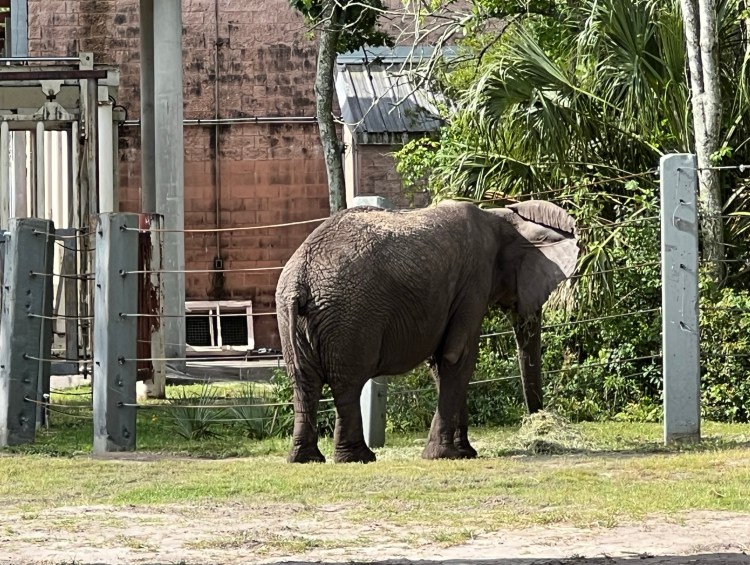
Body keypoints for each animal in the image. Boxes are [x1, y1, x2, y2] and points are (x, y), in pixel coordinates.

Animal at [276, 198, 580, 462]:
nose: (538, 424)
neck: (502, 216)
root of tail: (299, 280)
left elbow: (441, 363)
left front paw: (465, 453)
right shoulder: (474, 281)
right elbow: (459, 356)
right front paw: (444, 455)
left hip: (294, 318)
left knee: (304, 383)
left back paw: (306, 459)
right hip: (349, 315)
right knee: (346, 384)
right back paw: (358, 458)